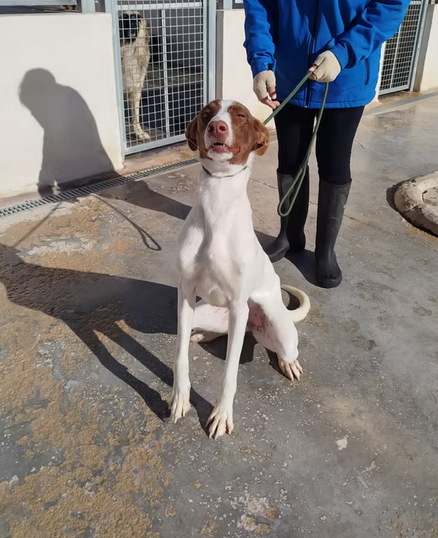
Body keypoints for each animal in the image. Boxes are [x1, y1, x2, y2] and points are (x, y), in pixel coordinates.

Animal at [170, 100, 310, 438]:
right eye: (206, 113)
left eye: (241, 115)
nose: (217, 127)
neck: (218, 207)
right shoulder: (185, 294)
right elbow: (180, 357)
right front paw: (180, 398)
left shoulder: (237, 305)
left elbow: (230, 372)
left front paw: (221, 414)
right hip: (205, 312)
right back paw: (201, 335)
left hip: (273, 327)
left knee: (284, 350)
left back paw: (288, 363)